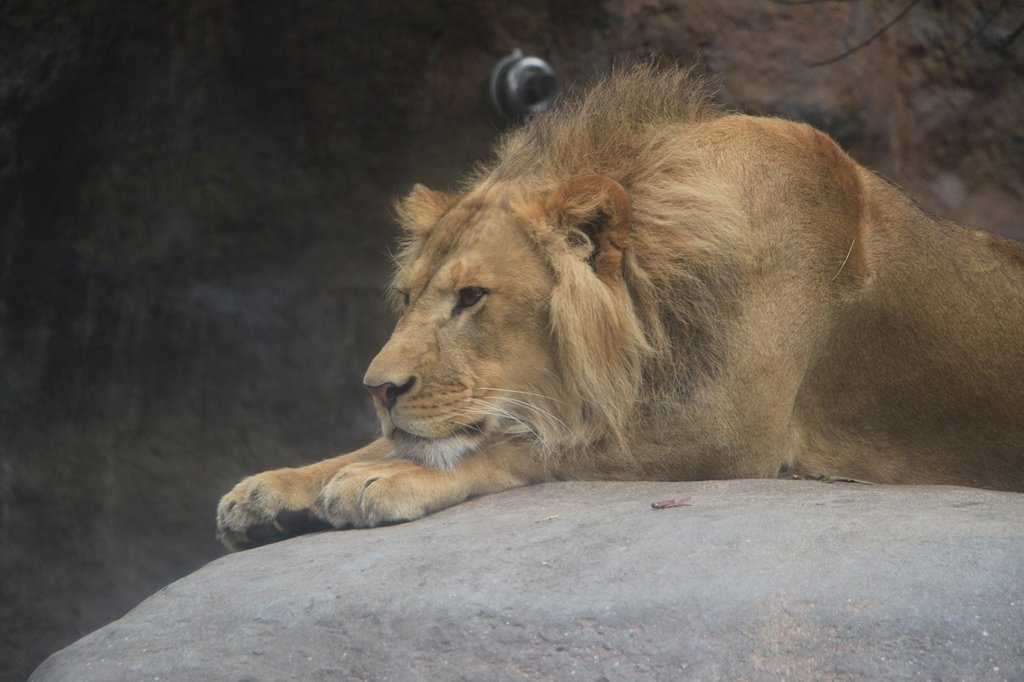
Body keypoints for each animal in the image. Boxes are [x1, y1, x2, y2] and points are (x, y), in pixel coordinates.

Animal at [216, 63, 1024, 548]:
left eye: (472, 297)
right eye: (408, 297)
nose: (377, 390)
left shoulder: (728, 433)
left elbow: (531, 443)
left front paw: (382, 480)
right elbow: (406, 440)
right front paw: (274, 488)